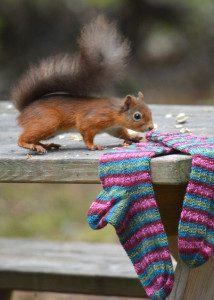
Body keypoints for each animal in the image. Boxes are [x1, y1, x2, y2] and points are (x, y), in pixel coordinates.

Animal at [10, 15, 154, 154]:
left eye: (150, 111)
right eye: (137, 116)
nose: (151, 127)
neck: (114, 112)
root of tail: (25, 109)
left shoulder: (114, 128)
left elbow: (122, 133)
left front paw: (133, 137)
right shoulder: (91, 120)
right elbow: (87, 134)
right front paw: (93, 146)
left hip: (49, 130)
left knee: (35, 138)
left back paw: (45, 145)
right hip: (47, 122)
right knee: (22, 139)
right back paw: (31, 145)